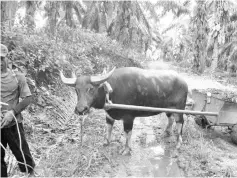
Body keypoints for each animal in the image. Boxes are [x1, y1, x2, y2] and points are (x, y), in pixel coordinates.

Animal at [60, 67, 189, 155]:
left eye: (90, 89)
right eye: (76, 90)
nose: (80, 109)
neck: (112, 92)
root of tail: (184, 82)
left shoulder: (128, 118)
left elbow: (127, 133)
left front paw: (126, 149)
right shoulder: (109, 116)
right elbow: (109, 128)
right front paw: (106, 142)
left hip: (179, 109)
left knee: (180, 122)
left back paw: (178, 143)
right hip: (169, 109)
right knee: (170, 118)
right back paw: (167, 132)